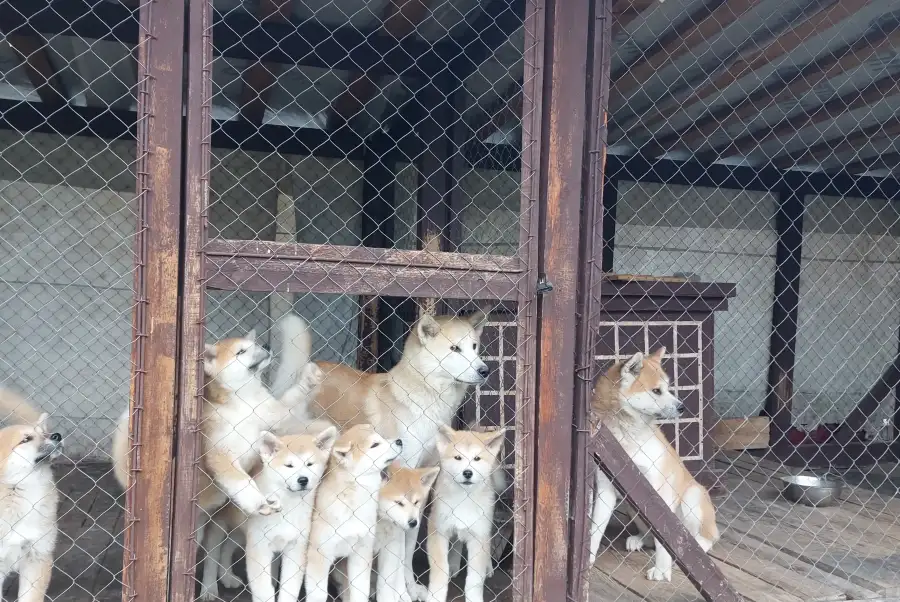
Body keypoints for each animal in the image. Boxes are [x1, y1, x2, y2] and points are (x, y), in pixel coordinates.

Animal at [200, 424, 338, 596]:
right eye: (289, 465)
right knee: (211, 555)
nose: (303, 480)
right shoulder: (260, 548)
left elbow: (289, 590)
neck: (288, 509)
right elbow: (264, 591)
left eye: (309, 464)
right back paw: (209, 588)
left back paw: (227, 576)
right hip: (219, 525)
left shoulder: (295, 547)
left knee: (227, 548)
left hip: (242, 531)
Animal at [306, 424, 400, 602]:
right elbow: (318, 595)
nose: (399, 441)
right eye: (375, 445)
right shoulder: (319, 556)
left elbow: (360, 590)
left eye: (381, 437)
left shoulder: (361, 552)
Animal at [424, 424, 502, 600]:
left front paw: (474, 598)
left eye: (477, 459)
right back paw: (453, 564)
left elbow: (474, 580)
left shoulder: (478, 535)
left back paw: (488, 567)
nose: (467, 473)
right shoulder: (438, 530)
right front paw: (435, 597)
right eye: (457, 458)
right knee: (457, 543)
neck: (463, 499)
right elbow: (440, 572)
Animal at [588, 350, 720, 580]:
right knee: (650, 535)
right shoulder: (606, 489)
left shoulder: (659, 489)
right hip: (632, 505)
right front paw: (586, 560)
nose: (682, 407)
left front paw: (661, 570)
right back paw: (639, 539)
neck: (628, 438)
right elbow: (595, 529)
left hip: (692, 497)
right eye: (657, 391)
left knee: (705, 539)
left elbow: (664, 538)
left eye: (668, 388)